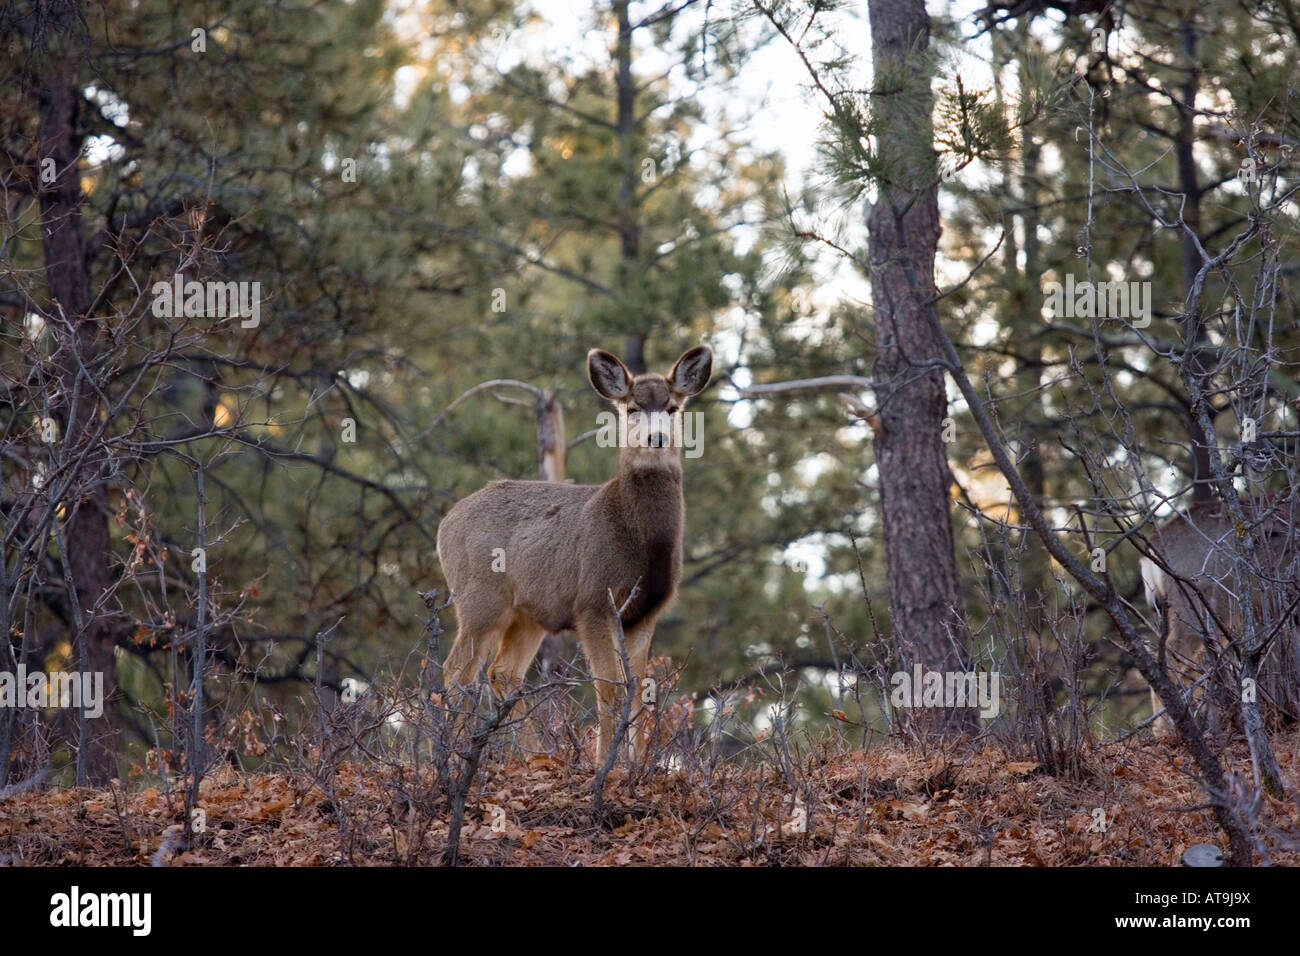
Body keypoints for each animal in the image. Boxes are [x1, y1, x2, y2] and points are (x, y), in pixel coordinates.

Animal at [435, 345, 712, 763]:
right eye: (632, 407)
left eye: (673, 407)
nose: (658, 437)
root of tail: (444, 524)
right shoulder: (593, 602)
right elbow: (609, 685)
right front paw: (606, 764)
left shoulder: (645, 614)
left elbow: (638, 691)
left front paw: (636, 764)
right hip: (479, 597)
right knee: (456, 671)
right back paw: (451, 758)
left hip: (529, 614)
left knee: (503, 672)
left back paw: (537, 758)